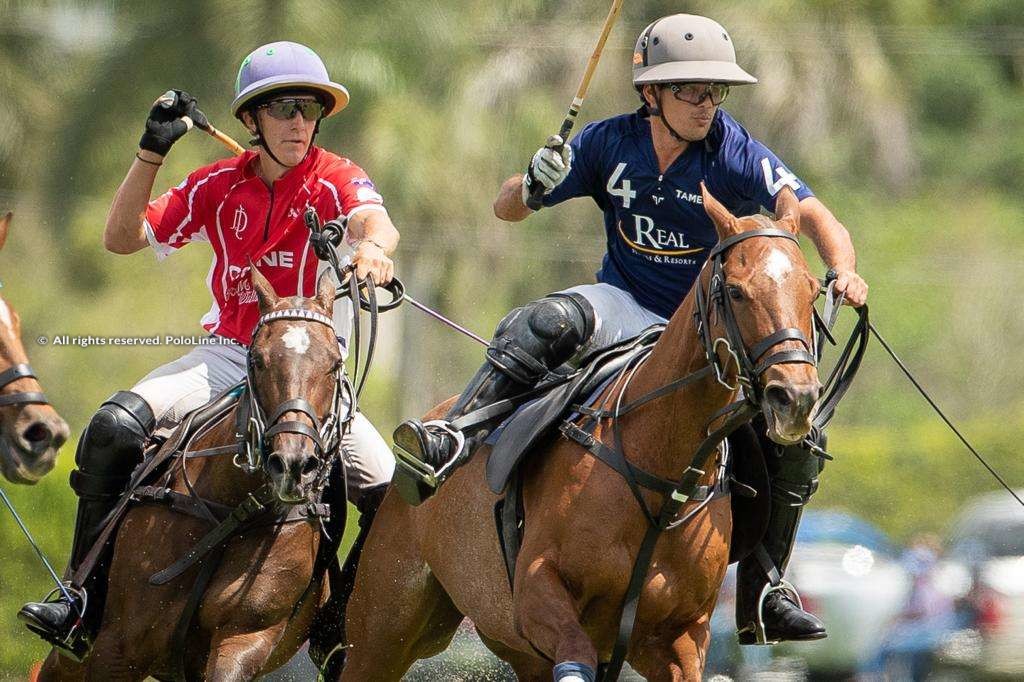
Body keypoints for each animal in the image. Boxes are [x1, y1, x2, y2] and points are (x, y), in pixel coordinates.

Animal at [40, 266, 348, 679]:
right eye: (258, 360)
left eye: (335, 364)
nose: (293, 464)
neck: (232, 506)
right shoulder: (118, 645)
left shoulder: (244, 640)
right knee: (114, 424)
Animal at [344, 183, 823, 675]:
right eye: (736, 291)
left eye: (812, 289)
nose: (795, 398)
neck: (664, 475)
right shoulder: (538, 596)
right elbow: (573, 651)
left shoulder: (680, 638)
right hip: (382, 625)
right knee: (556, 315)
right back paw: (434, 445)